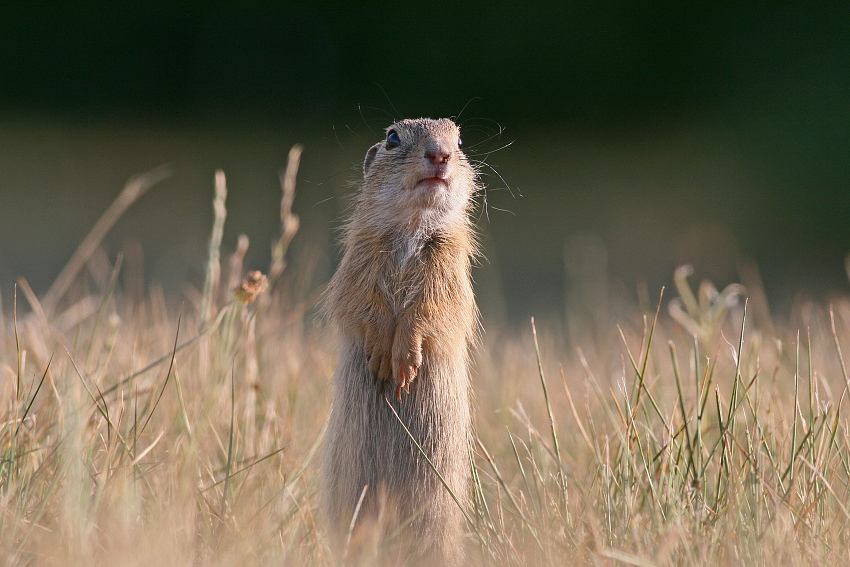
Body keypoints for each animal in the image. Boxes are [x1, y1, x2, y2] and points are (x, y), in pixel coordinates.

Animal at [322, 118, 479, 564]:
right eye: (393, 137)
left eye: (460, 140)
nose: (440, 154)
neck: (412, 228)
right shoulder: (357, 264)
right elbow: (361, 304)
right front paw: (381, 357)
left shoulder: (449, 271)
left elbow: (431, 312)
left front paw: (404, 362)